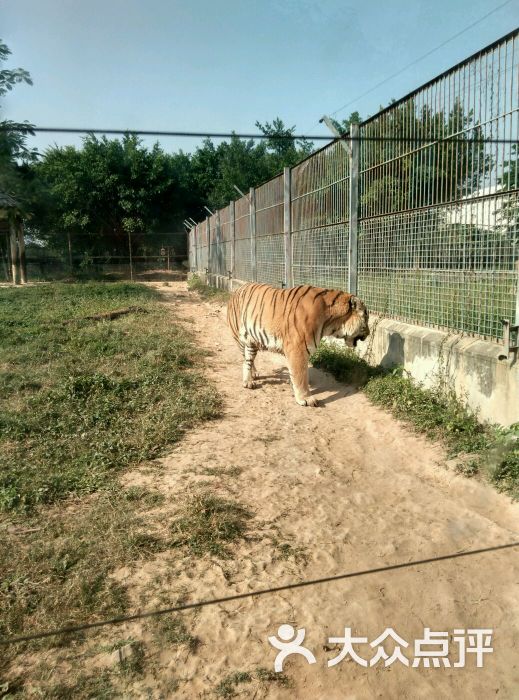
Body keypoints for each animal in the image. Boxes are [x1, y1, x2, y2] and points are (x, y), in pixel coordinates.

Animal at [228, 284, 370, 408]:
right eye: (366, 318)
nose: (369, 334)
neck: (330, 323)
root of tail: (237, 290)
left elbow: (298, 374)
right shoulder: (297, 348)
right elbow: (300, 374)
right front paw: (306, 398)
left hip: (252, 341)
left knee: (250, 360)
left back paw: (254, 374)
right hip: (241, 338)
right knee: (245, 361)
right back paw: (248, 381)